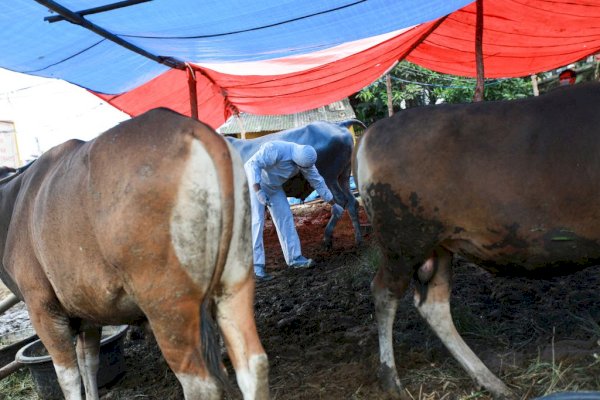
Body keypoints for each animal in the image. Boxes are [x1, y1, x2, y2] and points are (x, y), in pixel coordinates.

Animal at [0, 107, 268, 400]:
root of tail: (196, 132)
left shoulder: (42, 307)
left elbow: (68, 377)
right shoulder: (88, 314)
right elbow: (89, 363)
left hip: (167, 307)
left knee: (201, 384)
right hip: (234, 284)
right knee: (253, 364)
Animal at [354, 83, 600, 398]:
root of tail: (369, 135)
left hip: (439, 244)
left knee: (434, 304)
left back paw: (491, 381)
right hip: (403, 240)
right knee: (385, 293)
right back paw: (391, 379)